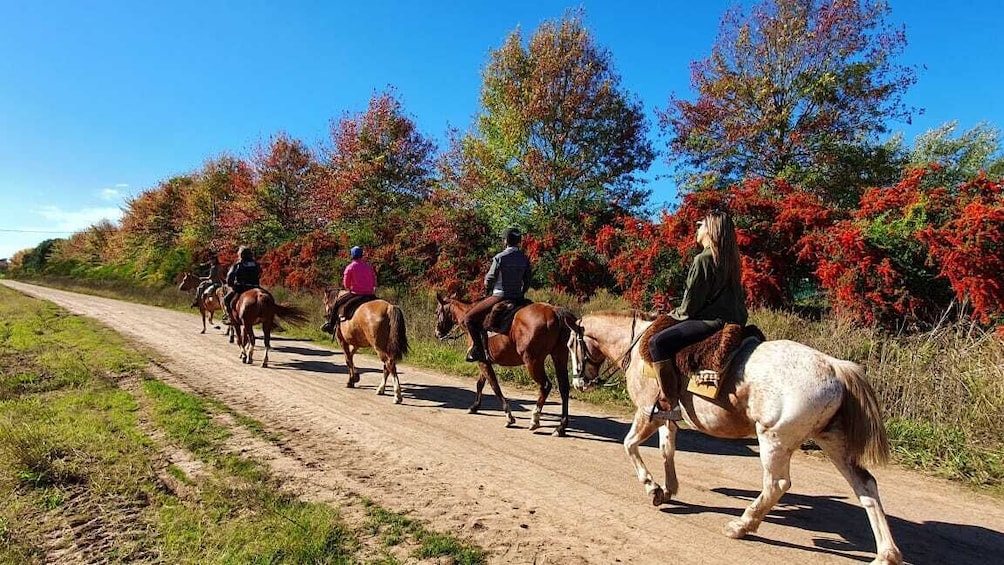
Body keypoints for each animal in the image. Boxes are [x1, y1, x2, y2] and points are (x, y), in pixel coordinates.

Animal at [435, 295, 578, 435]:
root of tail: (554, 311)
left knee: (545, 386)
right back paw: (561, 427)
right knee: (564, 388)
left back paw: (535, 420)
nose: (437, 333)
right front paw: (475, 406)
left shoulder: (482, 362)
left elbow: (495, 386)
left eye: (437, 313)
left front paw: (509, 417)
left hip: (533, 362)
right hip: (559, 357)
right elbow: (480, 383)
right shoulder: (485, 361)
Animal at [566, 311, 903, 565]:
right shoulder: (665, 415)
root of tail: (834, 366)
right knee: (865, 486)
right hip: (832, 442)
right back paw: (886, 554)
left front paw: (653, 487)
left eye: (570, 344)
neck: (638, 346)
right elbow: (667, 449)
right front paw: (669, 488)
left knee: (777, 484)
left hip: (773, 440)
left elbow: (630, 445)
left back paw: (742, 525)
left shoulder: (646, 413)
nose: (579, 381)